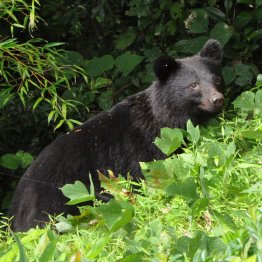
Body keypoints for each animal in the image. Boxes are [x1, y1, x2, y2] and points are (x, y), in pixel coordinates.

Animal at [9, 39, 224, 231]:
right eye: (194, 85)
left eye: (216, 79)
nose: (218, 99)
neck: (166, 118)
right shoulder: (142, 148)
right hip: (60, 201)